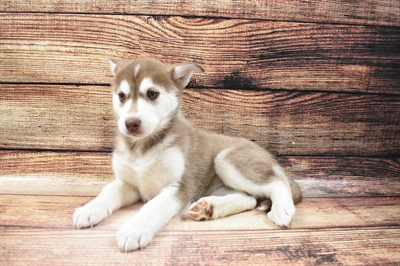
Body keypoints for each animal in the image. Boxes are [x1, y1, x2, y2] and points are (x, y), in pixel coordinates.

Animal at [73, 58, 302, 251]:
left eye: (152, 94)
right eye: (121, 96)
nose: (131, 123)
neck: (143, 148)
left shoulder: (179, 186)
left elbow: (153, 207)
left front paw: (135, 228)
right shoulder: (128, 183)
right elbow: (107, 192)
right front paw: (89, 209)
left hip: (226, 161)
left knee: (277, 183)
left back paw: (282, 209)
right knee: (250, 199)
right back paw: (209, 208)